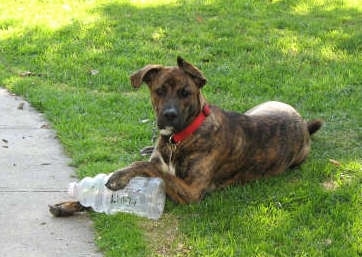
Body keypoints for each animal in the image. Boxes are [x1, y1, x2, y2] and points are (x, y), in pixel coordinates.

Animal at [48, 56, 322, 216]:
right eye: (159, 90)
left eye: (185, 93)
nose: (169, 115)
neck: (178, 139)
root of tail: (302, 123)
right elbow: (148, 165)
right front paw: (70, 204)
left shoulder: (190, 191)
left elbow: (148, 168)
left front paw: (118, 177)